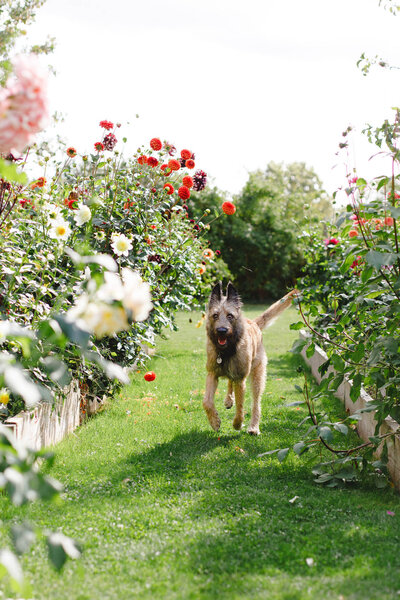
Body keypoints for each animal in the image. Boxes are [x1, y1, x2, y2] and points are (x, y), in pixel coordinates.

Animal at [203, 282, 296, 436]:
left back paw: (253, 427)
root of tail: (254, 323)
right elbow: (207, 402)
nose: (221, 331)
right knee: (230, 383)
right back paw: (229, 400)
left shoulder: (240, 380)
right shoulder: (212, 374)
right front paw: (214, 422)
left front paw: (238, 424)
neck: (227, 351)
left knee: (256, 403)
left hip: (257, 377)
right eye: (215, 315)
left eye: (230, 316)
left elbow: (240, 407)